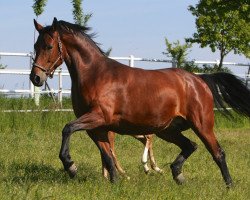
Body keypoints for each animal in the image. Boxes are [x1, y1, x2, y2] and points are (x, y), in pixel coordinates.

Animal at [29, 18, 250, 187]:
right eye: (35, 46)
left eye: (49, 46)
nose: (36, 78)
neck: (95, 75)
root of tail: (199, 80)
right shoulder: (98, 128)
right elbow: (107, 156)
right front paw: (114, 183)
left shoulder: (97, 117)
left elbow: (67, 129)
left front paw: (71, 166)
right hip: (167, 130)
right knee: (191, 146)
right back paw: (177, 174)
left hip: (202, 125)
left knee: (218, 153)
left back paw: (228, 186)